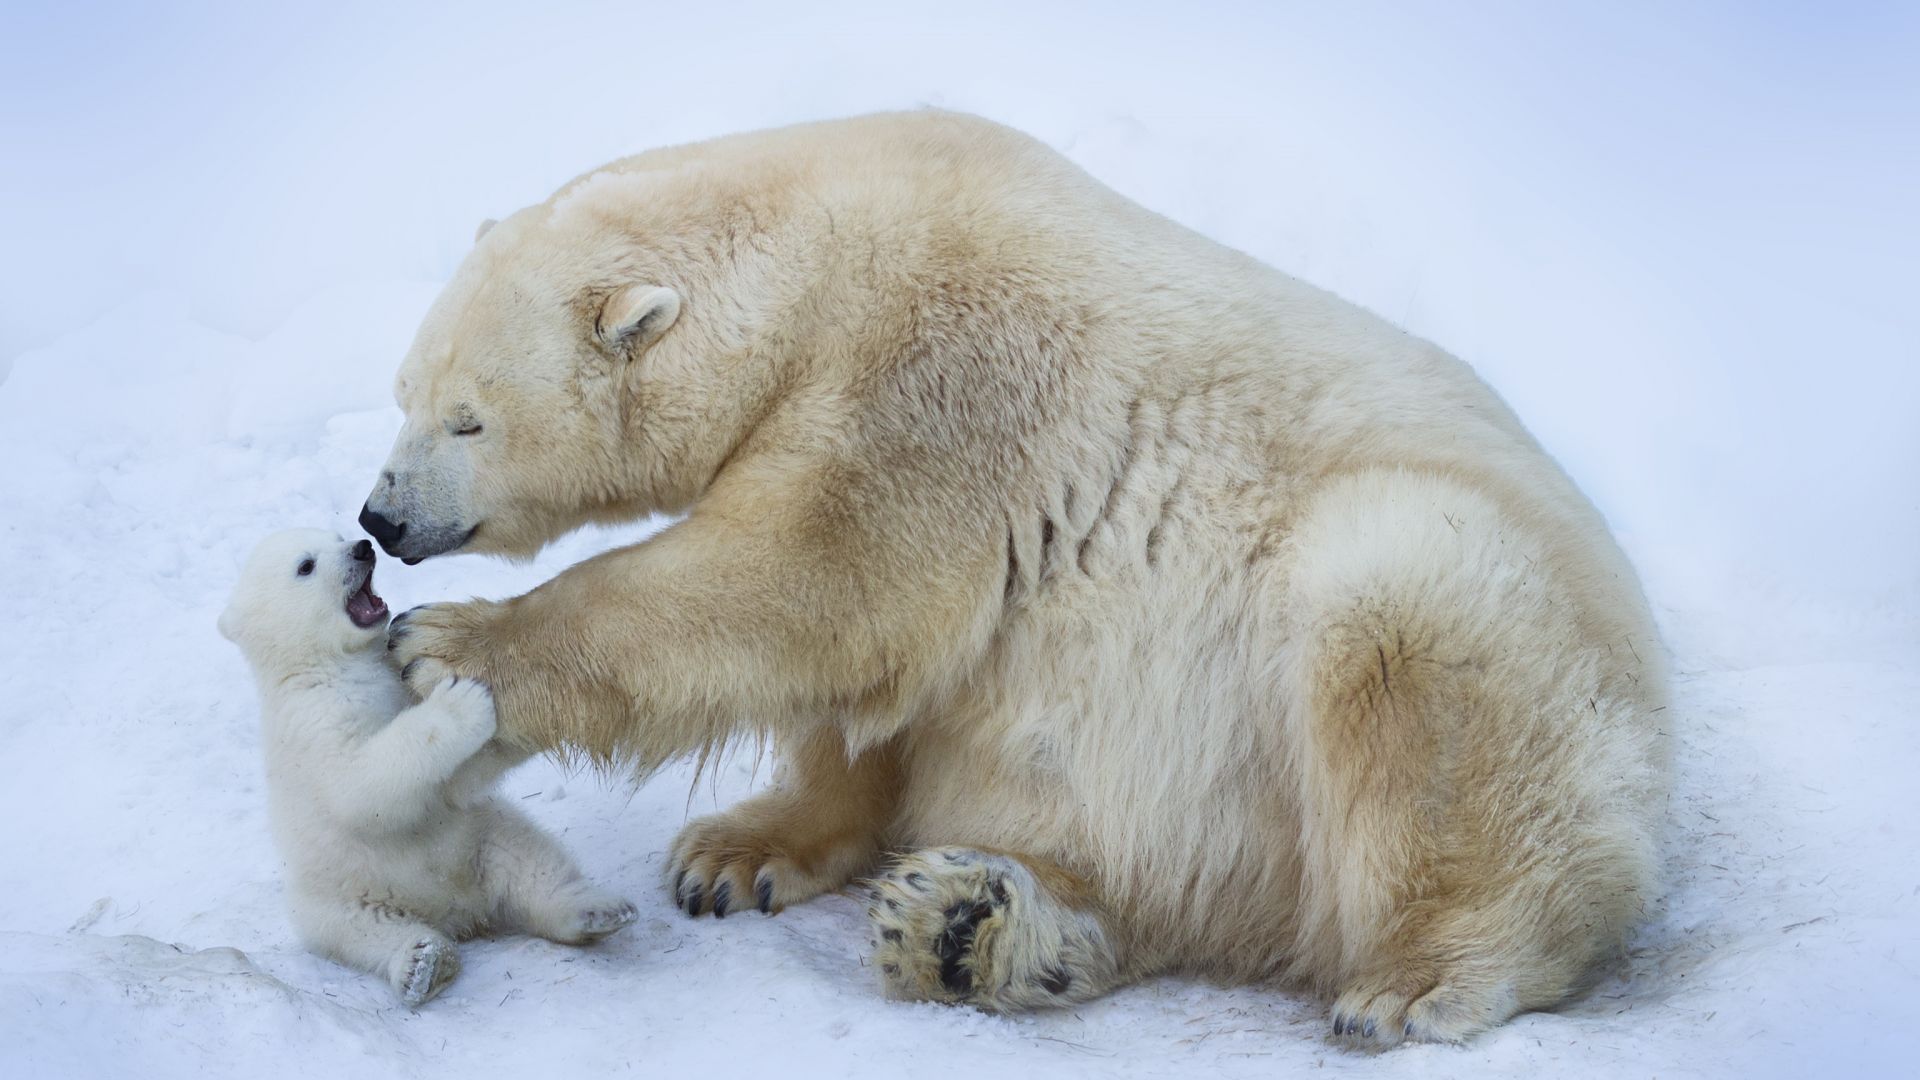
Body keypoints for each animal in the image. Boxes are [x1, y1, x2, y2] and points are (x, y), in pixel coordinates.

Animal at [366, 111, 1674, 1045]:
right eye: (404, 393)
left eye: (469, 419)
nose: (381, 516)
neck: (829, 253)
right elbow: (876, 681)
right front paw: (737, 855)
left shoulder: (947, 373)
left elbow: (810, 580)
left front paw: (448, 649)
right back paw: (970, 926)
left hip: (1483, 628)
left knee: (1414, 645)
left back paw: (1420, 976)